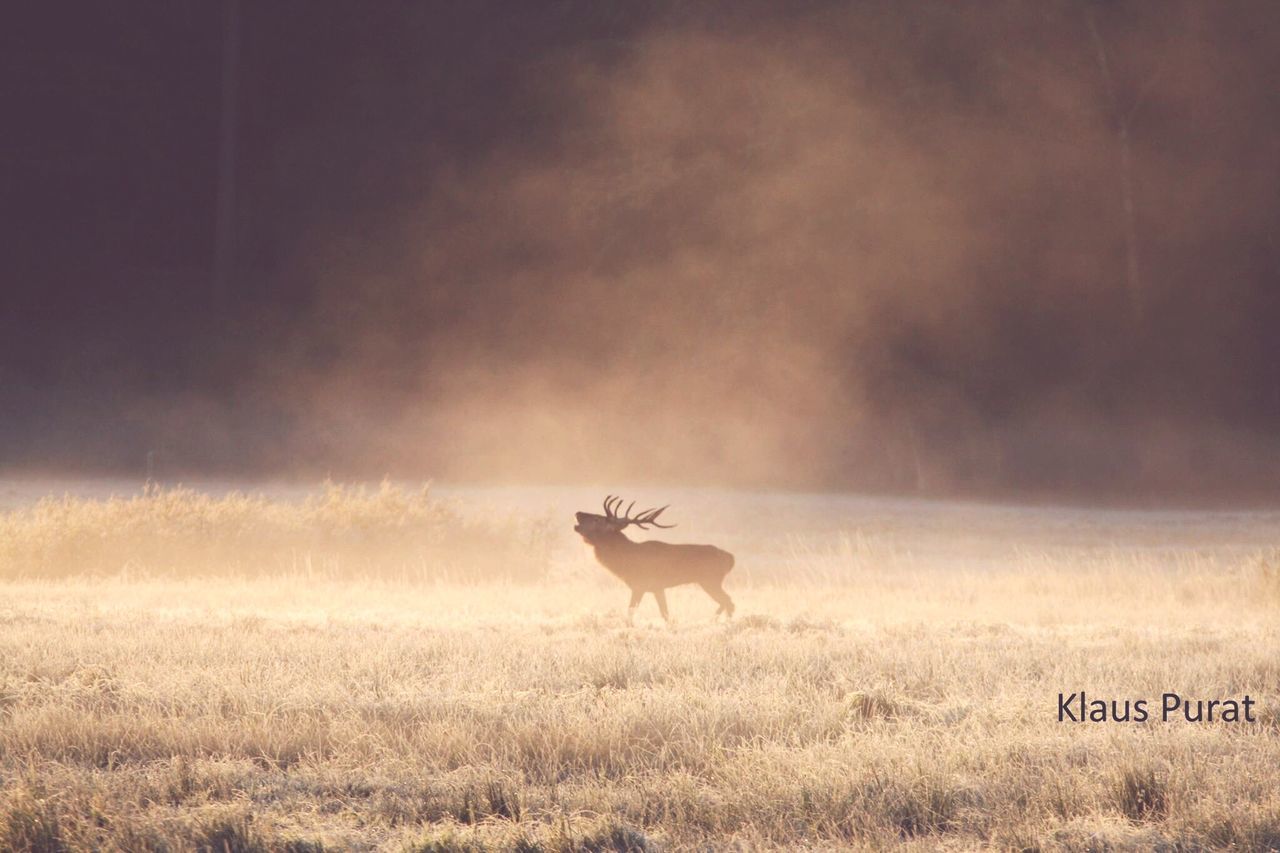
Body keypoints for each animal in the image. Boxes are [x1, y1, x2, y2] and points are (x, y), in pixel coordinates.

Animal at [576, 491, 737, 625]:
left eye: (597, 519)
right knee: (727, 602)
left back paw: (719, 622)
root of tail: (731, 558)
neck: (625, 561)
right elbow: (665, 614)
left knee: (729, 602)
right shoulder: (657, 588)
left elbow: (630, 613)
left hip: (710, 580)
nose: (578, 512)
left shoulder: (639, 585)